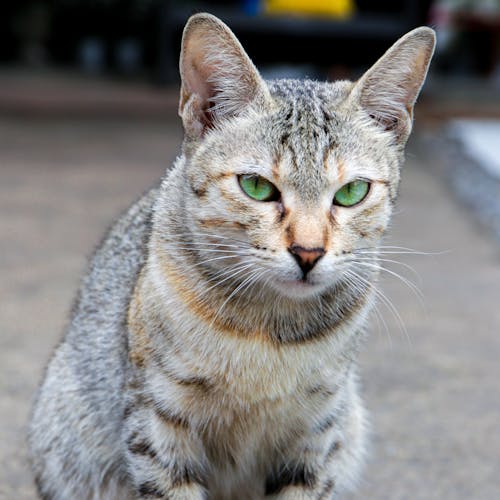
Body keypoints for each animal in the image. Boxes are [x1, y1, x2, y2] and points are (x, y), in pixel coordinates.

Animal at [28, 12, 434, 500]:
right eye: (257, 186)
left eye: (352, 192)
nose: (308, 251)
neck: (270, 333)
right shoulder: (158, 424)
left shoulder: (317, 434)